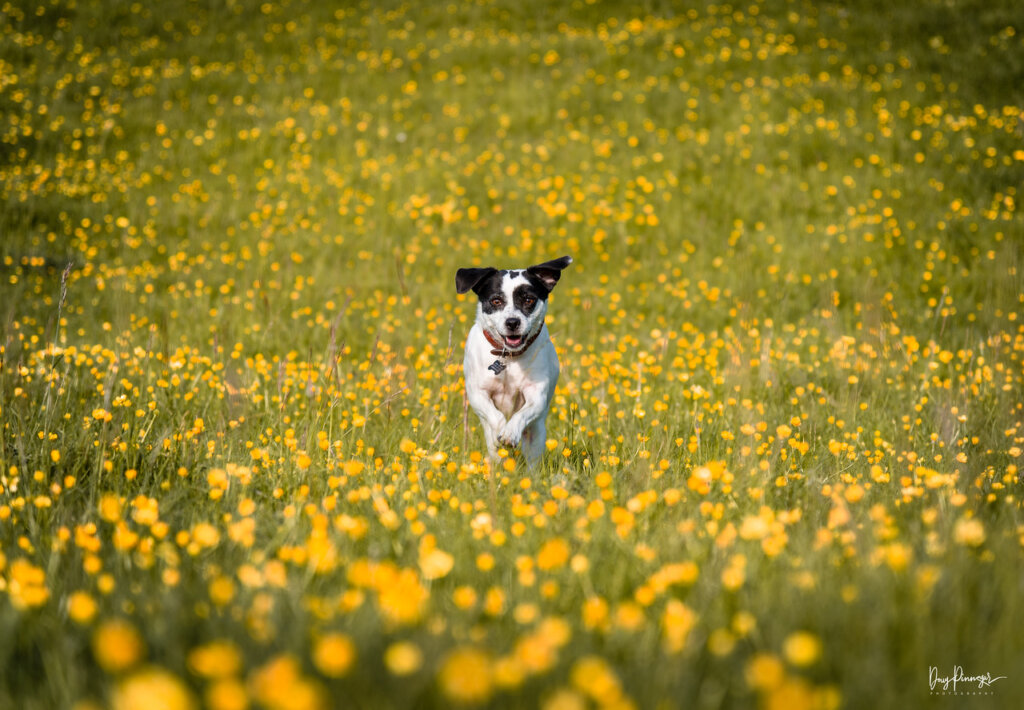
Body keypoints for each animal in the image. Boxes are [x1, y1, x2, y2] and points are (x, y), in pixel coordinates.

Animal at [458, 255, 577, 465]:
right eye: (496, 300)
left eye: (529, 299)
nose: (512, 322)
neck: (509, 358)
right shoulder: (477, 394)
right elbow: (495, 416)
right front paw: (501, 431)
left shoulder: (536, 396)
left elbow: (522, 413)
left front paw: (510, 432)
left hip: (536, 432)